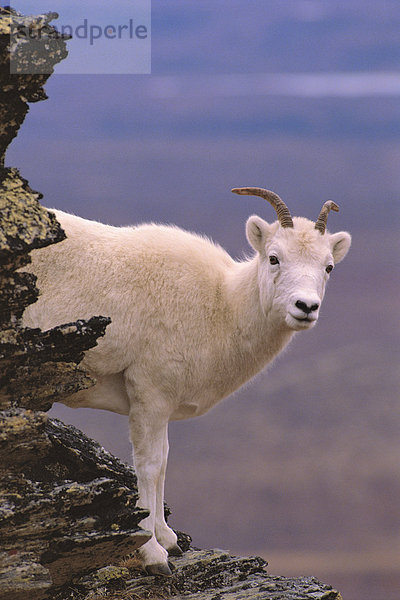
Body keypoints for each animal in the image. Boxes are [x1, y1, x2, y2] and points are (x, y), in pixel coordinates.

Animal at [22, 189, 350, 576]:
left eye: (328, 267)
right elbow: (149, 467)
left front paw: (169, 541)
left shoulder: (162, 407)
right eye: (274, 258)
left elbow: (164, 463)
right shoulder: (149, 396)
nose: (306, 306)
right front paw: (153, 555)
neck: (221, 305)